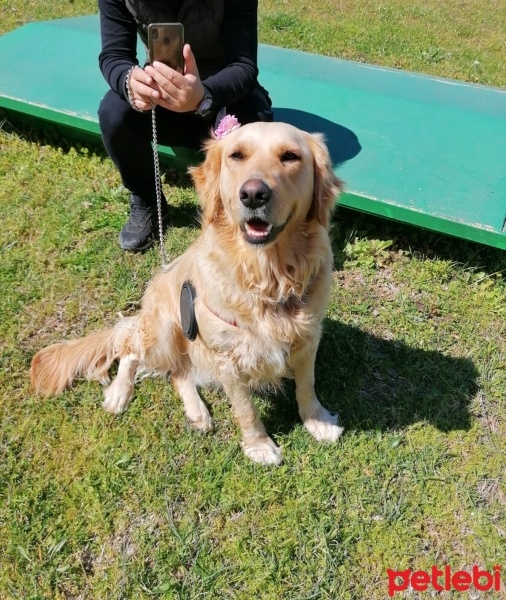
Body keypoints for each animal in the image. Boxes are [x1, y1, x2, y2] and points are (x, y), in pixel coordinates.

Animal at [30, 122, 344, 466]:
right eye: (237, 155)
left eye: (290, 156)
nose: (252, 193)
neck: (266, 275)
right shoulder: (227, 357)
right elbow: (246, 409)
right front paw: (259, 446)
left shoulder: (308, 336)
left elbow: (307, 386)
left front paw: (318, 421)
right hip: (166, 328)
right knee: (130, 349)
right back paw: (119, 393)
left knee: (178, 373)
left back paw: (197, 413)